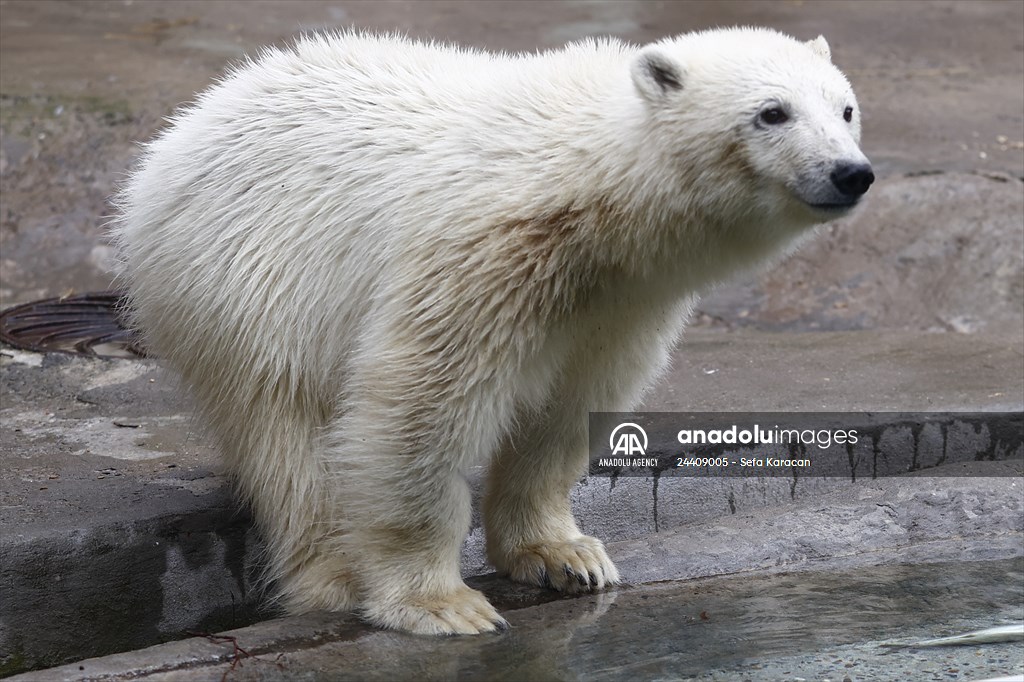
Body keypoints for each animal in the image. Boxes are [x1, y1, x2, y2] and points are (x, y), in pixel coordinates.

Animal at [111, 27, 872, 635]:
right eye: (771, 112)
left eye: (845, 108)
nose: (851, 172)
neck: (594, 191)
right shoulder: (483, 252)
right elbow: (419, 402)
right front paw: (440, 602)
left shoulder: (624, 298)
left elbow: (570, 406)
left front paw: (566, 556)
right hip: (249, 279)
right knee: (290, 435)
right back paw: (336, 575)